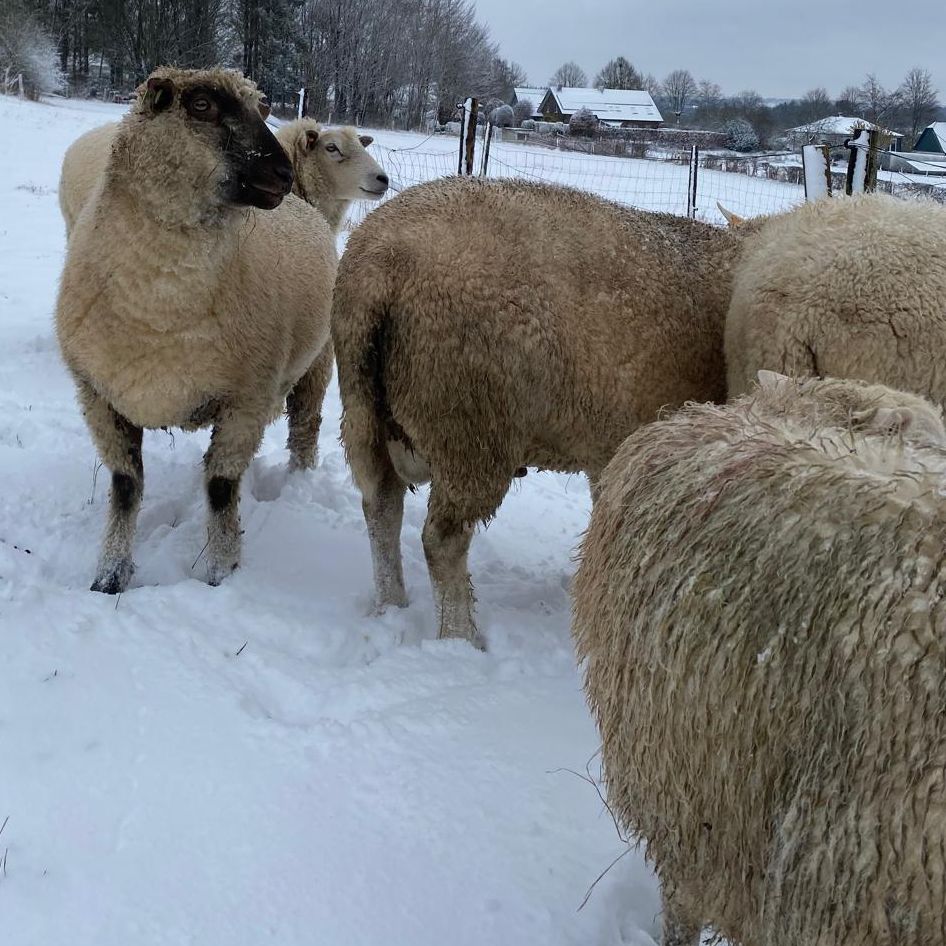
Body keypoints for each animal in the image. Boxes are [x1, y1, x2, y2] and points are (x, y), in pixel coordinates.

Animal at [55, 66, 337, 593]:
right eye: (201, 105)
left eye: (262, 108)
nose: (281, 175)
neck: (159, 311)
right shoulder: (99, 396)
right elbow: (126, 487)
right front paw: (109, 576)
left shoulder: (244, 401)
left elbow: (220, 488)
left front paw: (219, 572)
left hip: (317, 362)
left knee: (304, 425)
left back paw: (299, 480)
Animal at [331, 176, 746, 646]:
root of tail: (380, 262)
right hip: (470, 424)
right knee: (442, 539)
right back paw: (461, 637)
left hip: (365, 408)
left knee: (382, 506)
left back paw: (391, 605)